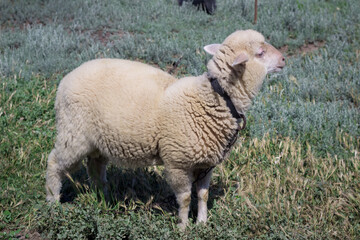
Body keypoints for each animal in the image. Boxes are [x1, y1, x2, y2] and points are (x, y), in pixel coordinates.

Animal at [46, 29, 286, 229]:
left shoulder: (205, 162)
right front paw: (183, 227)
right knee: (55, 162)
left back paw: (104, 197)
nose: (284, 59)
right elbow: (185, 198)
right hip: (73, 132)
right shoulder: (177, 162)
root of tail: (66, 78)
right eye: (260, 52)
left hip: (98, 140)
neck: (213, 99)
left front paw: (202, 223)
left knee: (95, 167)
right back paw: (53, 202)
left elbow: (203, 195)